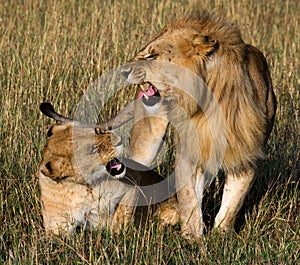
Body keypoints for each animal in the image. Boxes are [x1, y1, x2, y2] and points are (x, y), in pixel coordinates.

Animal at [37, 102, 178, 234]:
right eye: (93, 149)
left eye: (98, 131)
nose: (120, 140)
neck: (83, 188)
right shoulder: (56, 227)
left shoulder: (132, 184)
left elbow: (122, 215)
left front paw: (116, 236)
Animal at [98, 11, 276, 237]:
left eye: (152, 56)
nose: (122, 72)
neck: (210, 101)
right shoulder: (189, 150)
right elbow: (189, 199)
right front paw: (192, 238)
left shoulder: (246, 151)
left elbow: (233, 203)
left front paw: (221, 237)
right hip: (146, 141)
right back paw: (119, 228)